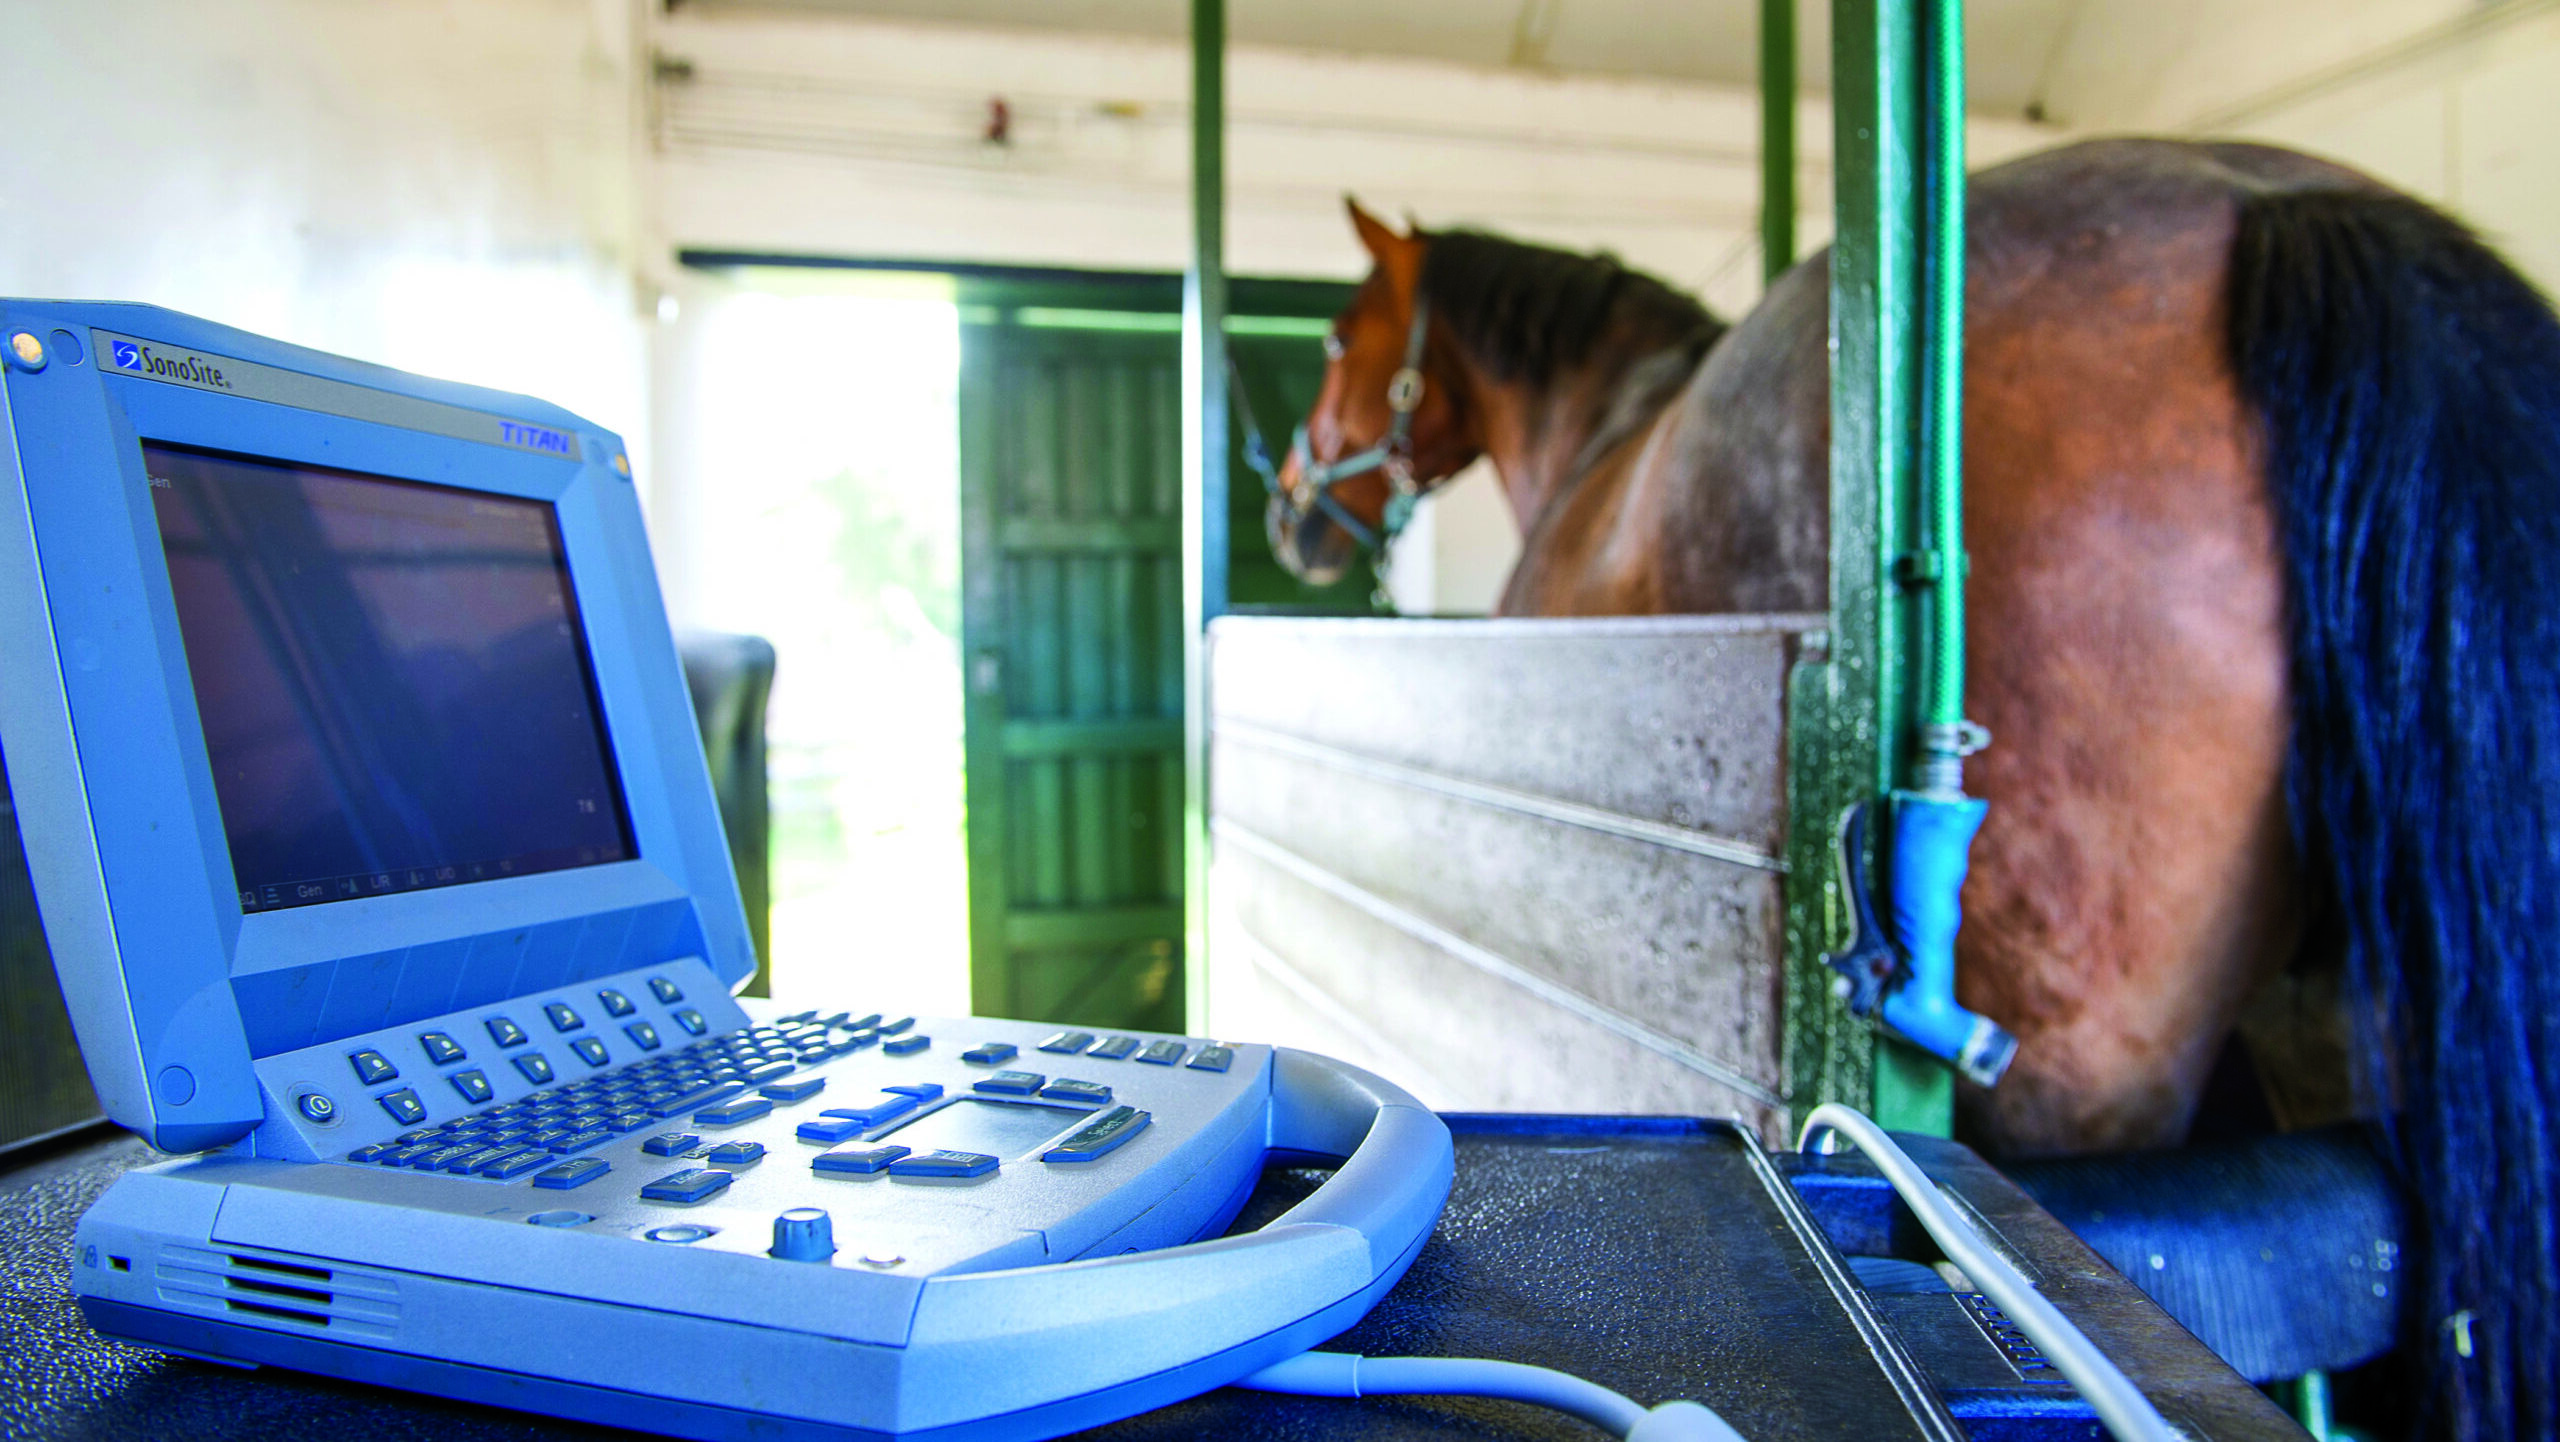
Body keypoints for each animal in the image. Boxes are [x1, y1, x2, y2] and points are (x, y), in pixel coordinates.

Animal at [1266, 138, 2560, 1439]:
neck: (1607, 429)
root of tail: (2282, 208)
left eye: (1333, 338)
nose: (1286, 510)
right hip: (2343, 1016)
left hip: (2088, 1045)